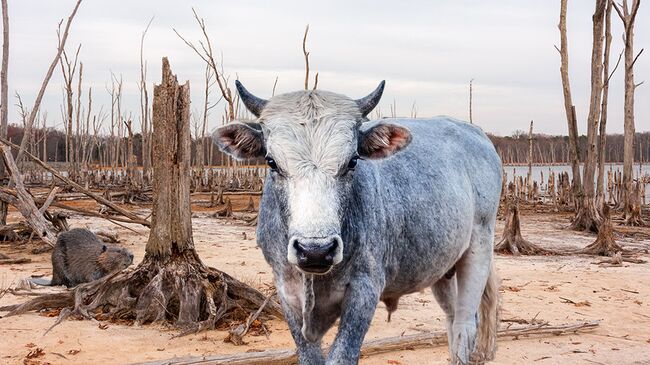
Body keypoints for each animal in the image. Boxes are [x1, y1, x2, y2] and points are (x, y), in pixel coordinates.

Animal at [215, 81, 498, 362]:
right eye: (272, 162)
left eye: (352, 161)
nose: (315, 250)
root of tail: (476, 133)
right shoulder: (286, 291)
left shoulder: (365, 289)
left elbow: (342, 355)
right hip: (442, 269)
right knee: (451, 318)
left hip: (480, 248)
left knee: (465, 325)